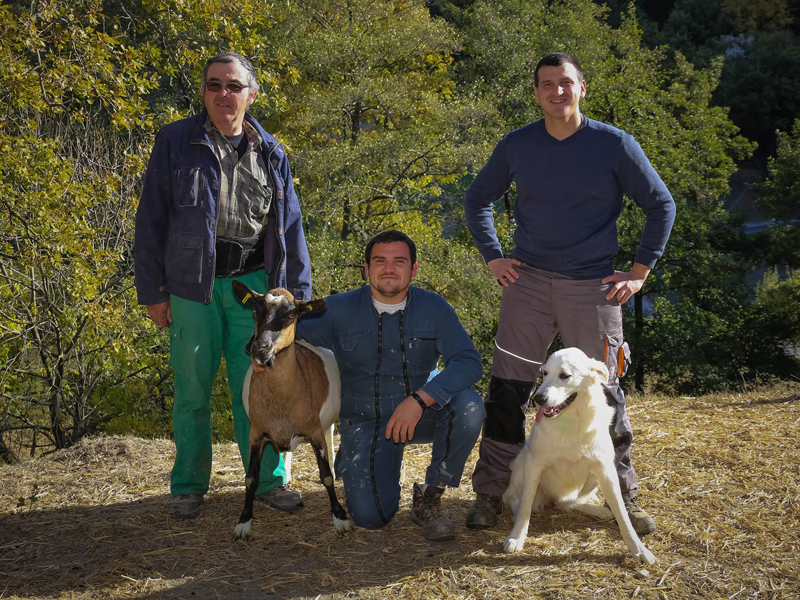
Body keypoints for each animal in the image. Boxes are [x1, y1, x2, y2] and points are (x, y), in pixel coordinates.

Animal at [230, 282, 352, 540]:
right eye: (255, 309)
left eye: (291, 315)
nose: (260, 349)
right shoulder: (256, 434)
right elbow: (250, 479)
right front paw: (244, 521)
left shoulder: (314, 431)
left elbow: (326, 476)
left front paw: (340, 517)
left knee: (330, 433)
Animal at [504, 346, 652, 564]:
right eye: (544, 373)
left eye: (564, 375)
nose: (538, 398)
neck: (571, 421)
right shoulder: (534, 464)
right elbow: (524, 507)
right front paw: (516, 537)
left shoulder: (606, 471)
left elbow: (622, 514)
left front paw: (639, 549)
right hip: (522, 464)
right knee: (522, 502)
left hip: (592, 479)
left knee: (567, 503)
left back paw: (600, 511)